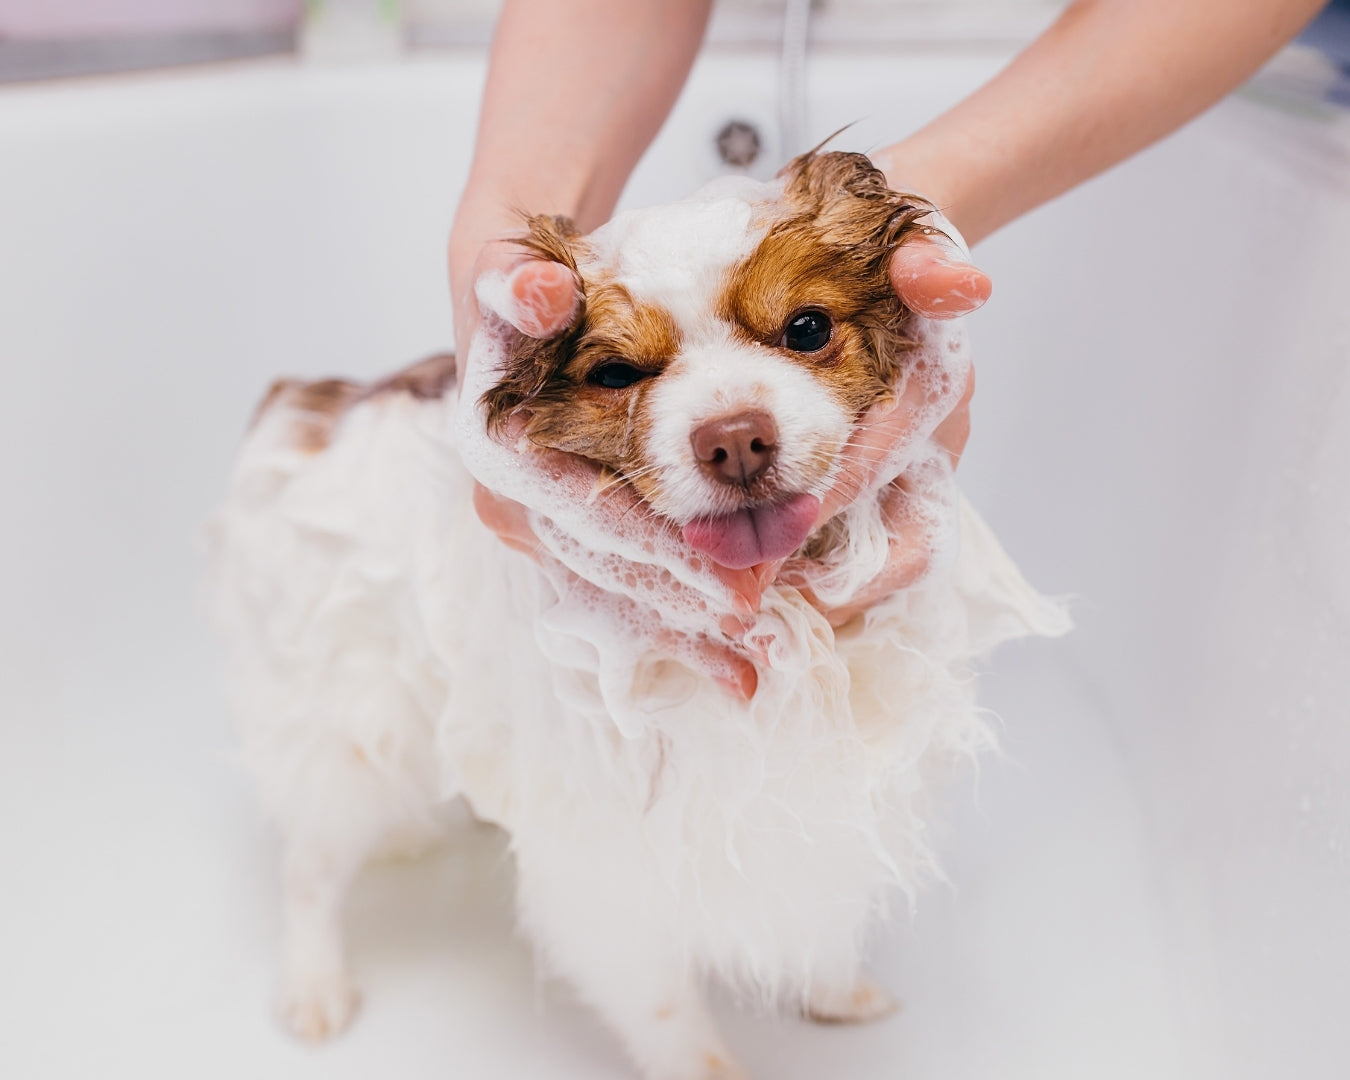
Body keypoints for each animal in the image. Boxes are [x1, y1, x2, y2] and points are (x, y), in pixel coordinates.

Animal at [205, 151, 1069, 1080]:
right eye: (617, 375)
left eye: (806, 329)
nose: (735, 438)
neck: (785, 626)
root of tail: (308, 406)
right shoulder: (617, 867)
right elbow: (674, 1022)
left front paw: (835, 990)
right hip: (352, 731)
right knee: (310, 867)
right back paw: (315, 986)